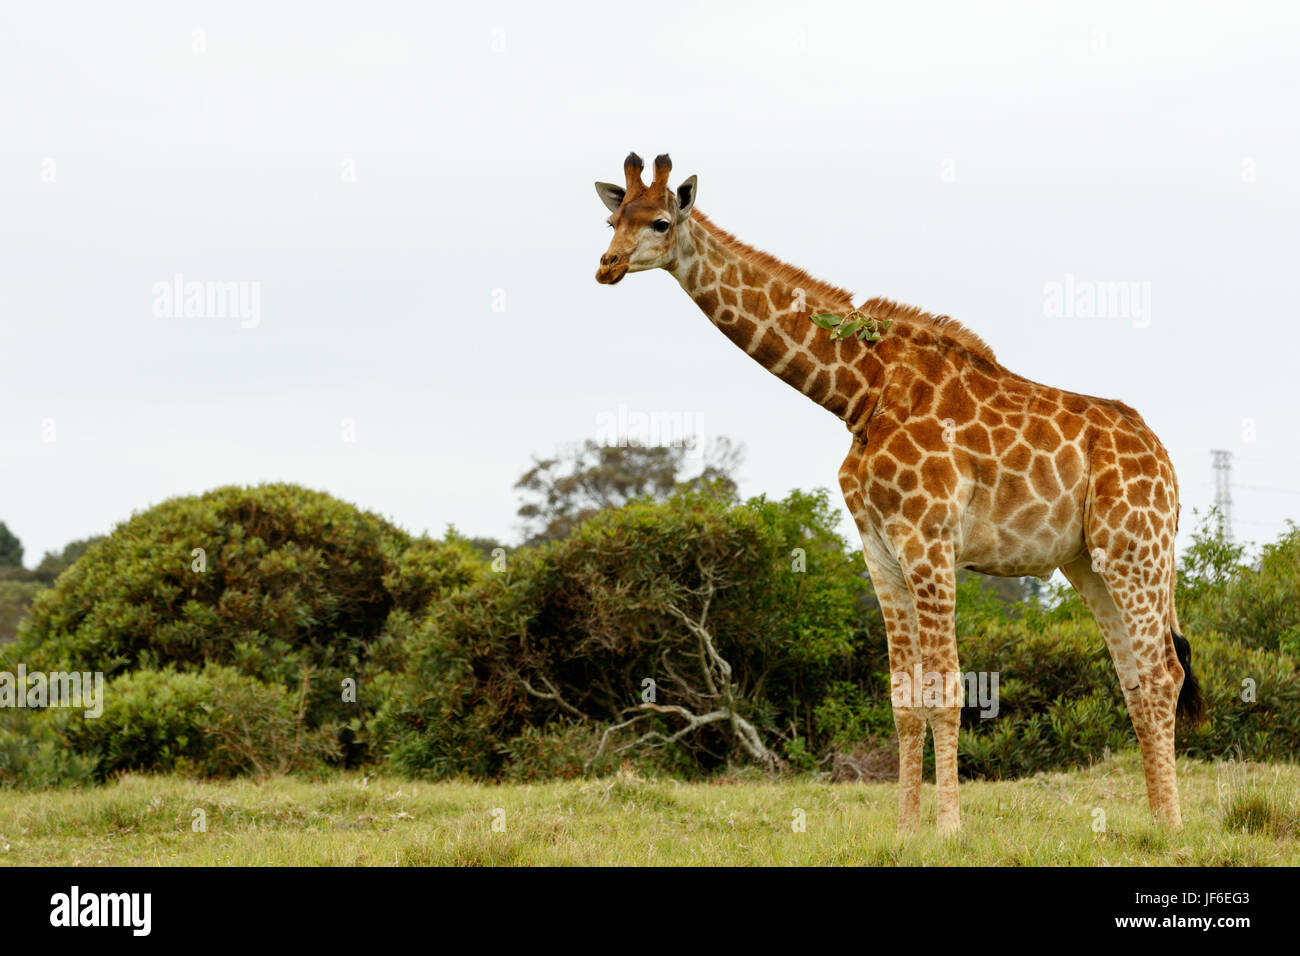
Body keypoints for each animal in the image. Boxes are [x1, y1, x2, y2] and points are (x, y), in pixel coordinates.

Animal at [595, 149, 1201, 832]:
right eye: (613, 218)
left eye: (661, 222)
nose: (607, 265)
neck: (859, 393)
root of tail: (1167, 462)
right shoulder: (880, 549)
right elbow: (903, 696)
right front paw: (909, 828)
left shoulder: (929, 540)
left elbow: (948, 688)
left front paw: (949, 829)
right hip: (1089, 561)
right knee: (1133, 676)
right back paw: (1155, 819)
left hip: (1135, 549)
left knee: (1163, 672)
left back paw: (1173, 827)